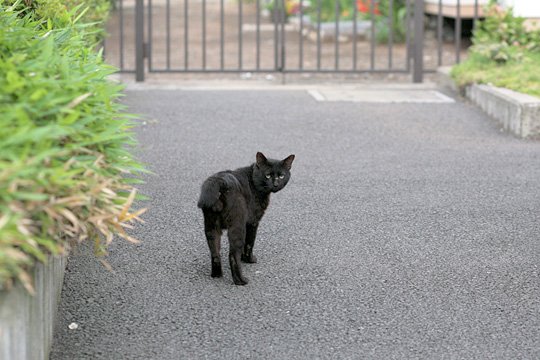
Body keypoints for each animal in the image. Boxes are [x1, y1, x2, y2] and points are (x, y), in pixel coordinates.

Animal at [197, 151, 294, 284]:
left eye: (281, 176)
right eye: (268, 175)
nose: (275, 184)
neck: (253, 180)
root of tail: (219, 182)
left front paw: (244, 258)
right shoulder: (253, 221)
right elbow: (249, 242)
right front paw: (249, 259)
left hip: (211, 226)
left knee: (215, 254)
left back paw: (216, 275)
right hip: (237, 225)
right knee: (232, 255)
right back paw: (241, 280)